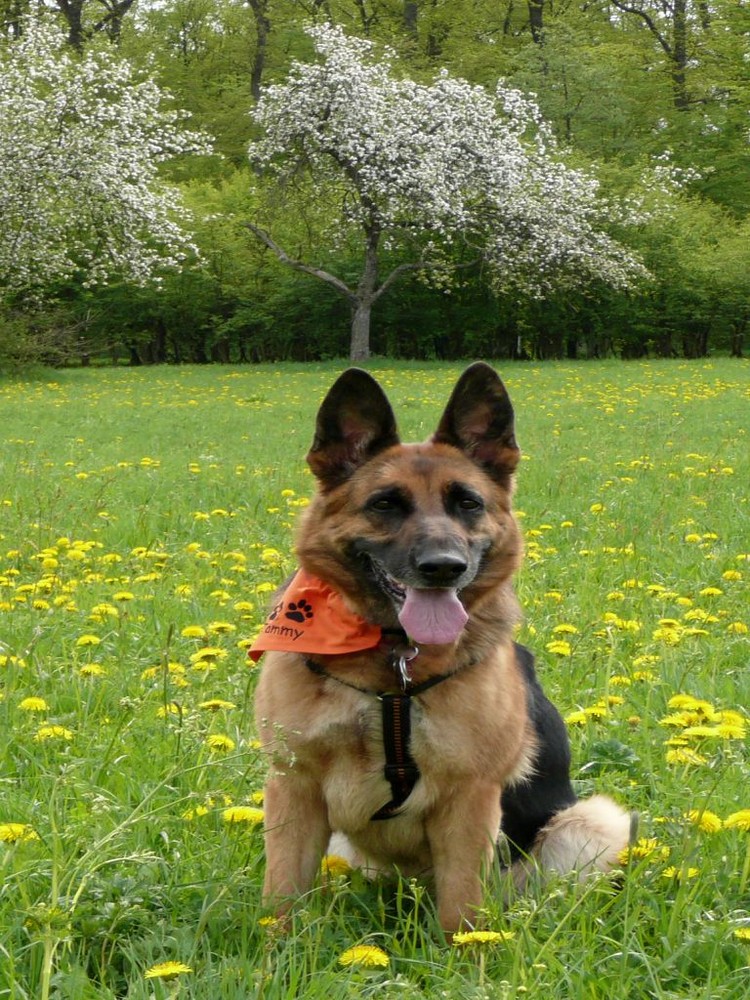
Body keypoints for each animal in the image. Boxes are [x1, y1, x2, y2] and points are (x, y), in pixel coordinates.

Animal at [254, 366, 636, 936]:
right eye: (385, 504)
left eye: (468, 504)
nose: (443, 567)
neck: (394, 668)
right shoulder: (292, 786)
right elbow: (281, 899)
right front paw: (277, 955)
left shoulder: (469, 799)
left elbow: (461, 908)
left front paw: (466, 954)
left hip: (591, 820)